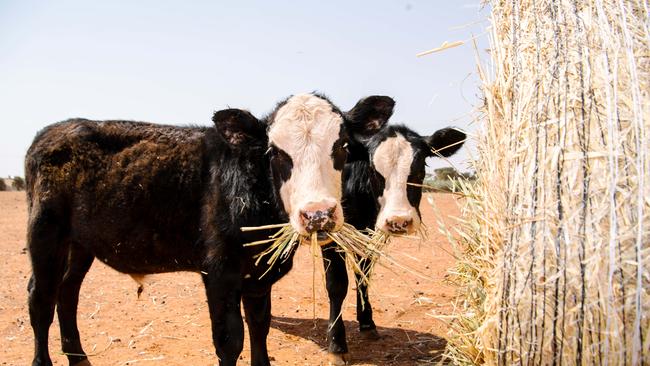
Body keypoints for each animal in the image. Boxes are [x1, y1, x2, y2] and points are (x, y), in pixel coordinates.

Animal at [25, 93, 384, 364]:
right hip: (45, 234)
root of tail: (51, 131)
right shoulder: (219, 273)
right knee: (41, 298)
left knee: (67, 293)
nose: (318, 214)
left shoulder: (258, 278)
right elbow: (229, 341)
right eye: (274, 152)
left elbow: (259, 329)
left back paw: (78, 357)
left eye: (342, 147)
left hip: (80, 244)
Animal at [320, 96, 466, 364]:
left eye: (419, 170)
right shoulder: (331, 234)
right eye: (374, 171)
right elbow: (337, 284)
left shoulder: (366, 232)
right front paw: (337, 345)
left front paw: (367, 323)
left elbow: (364, 275)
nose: (399, 221)